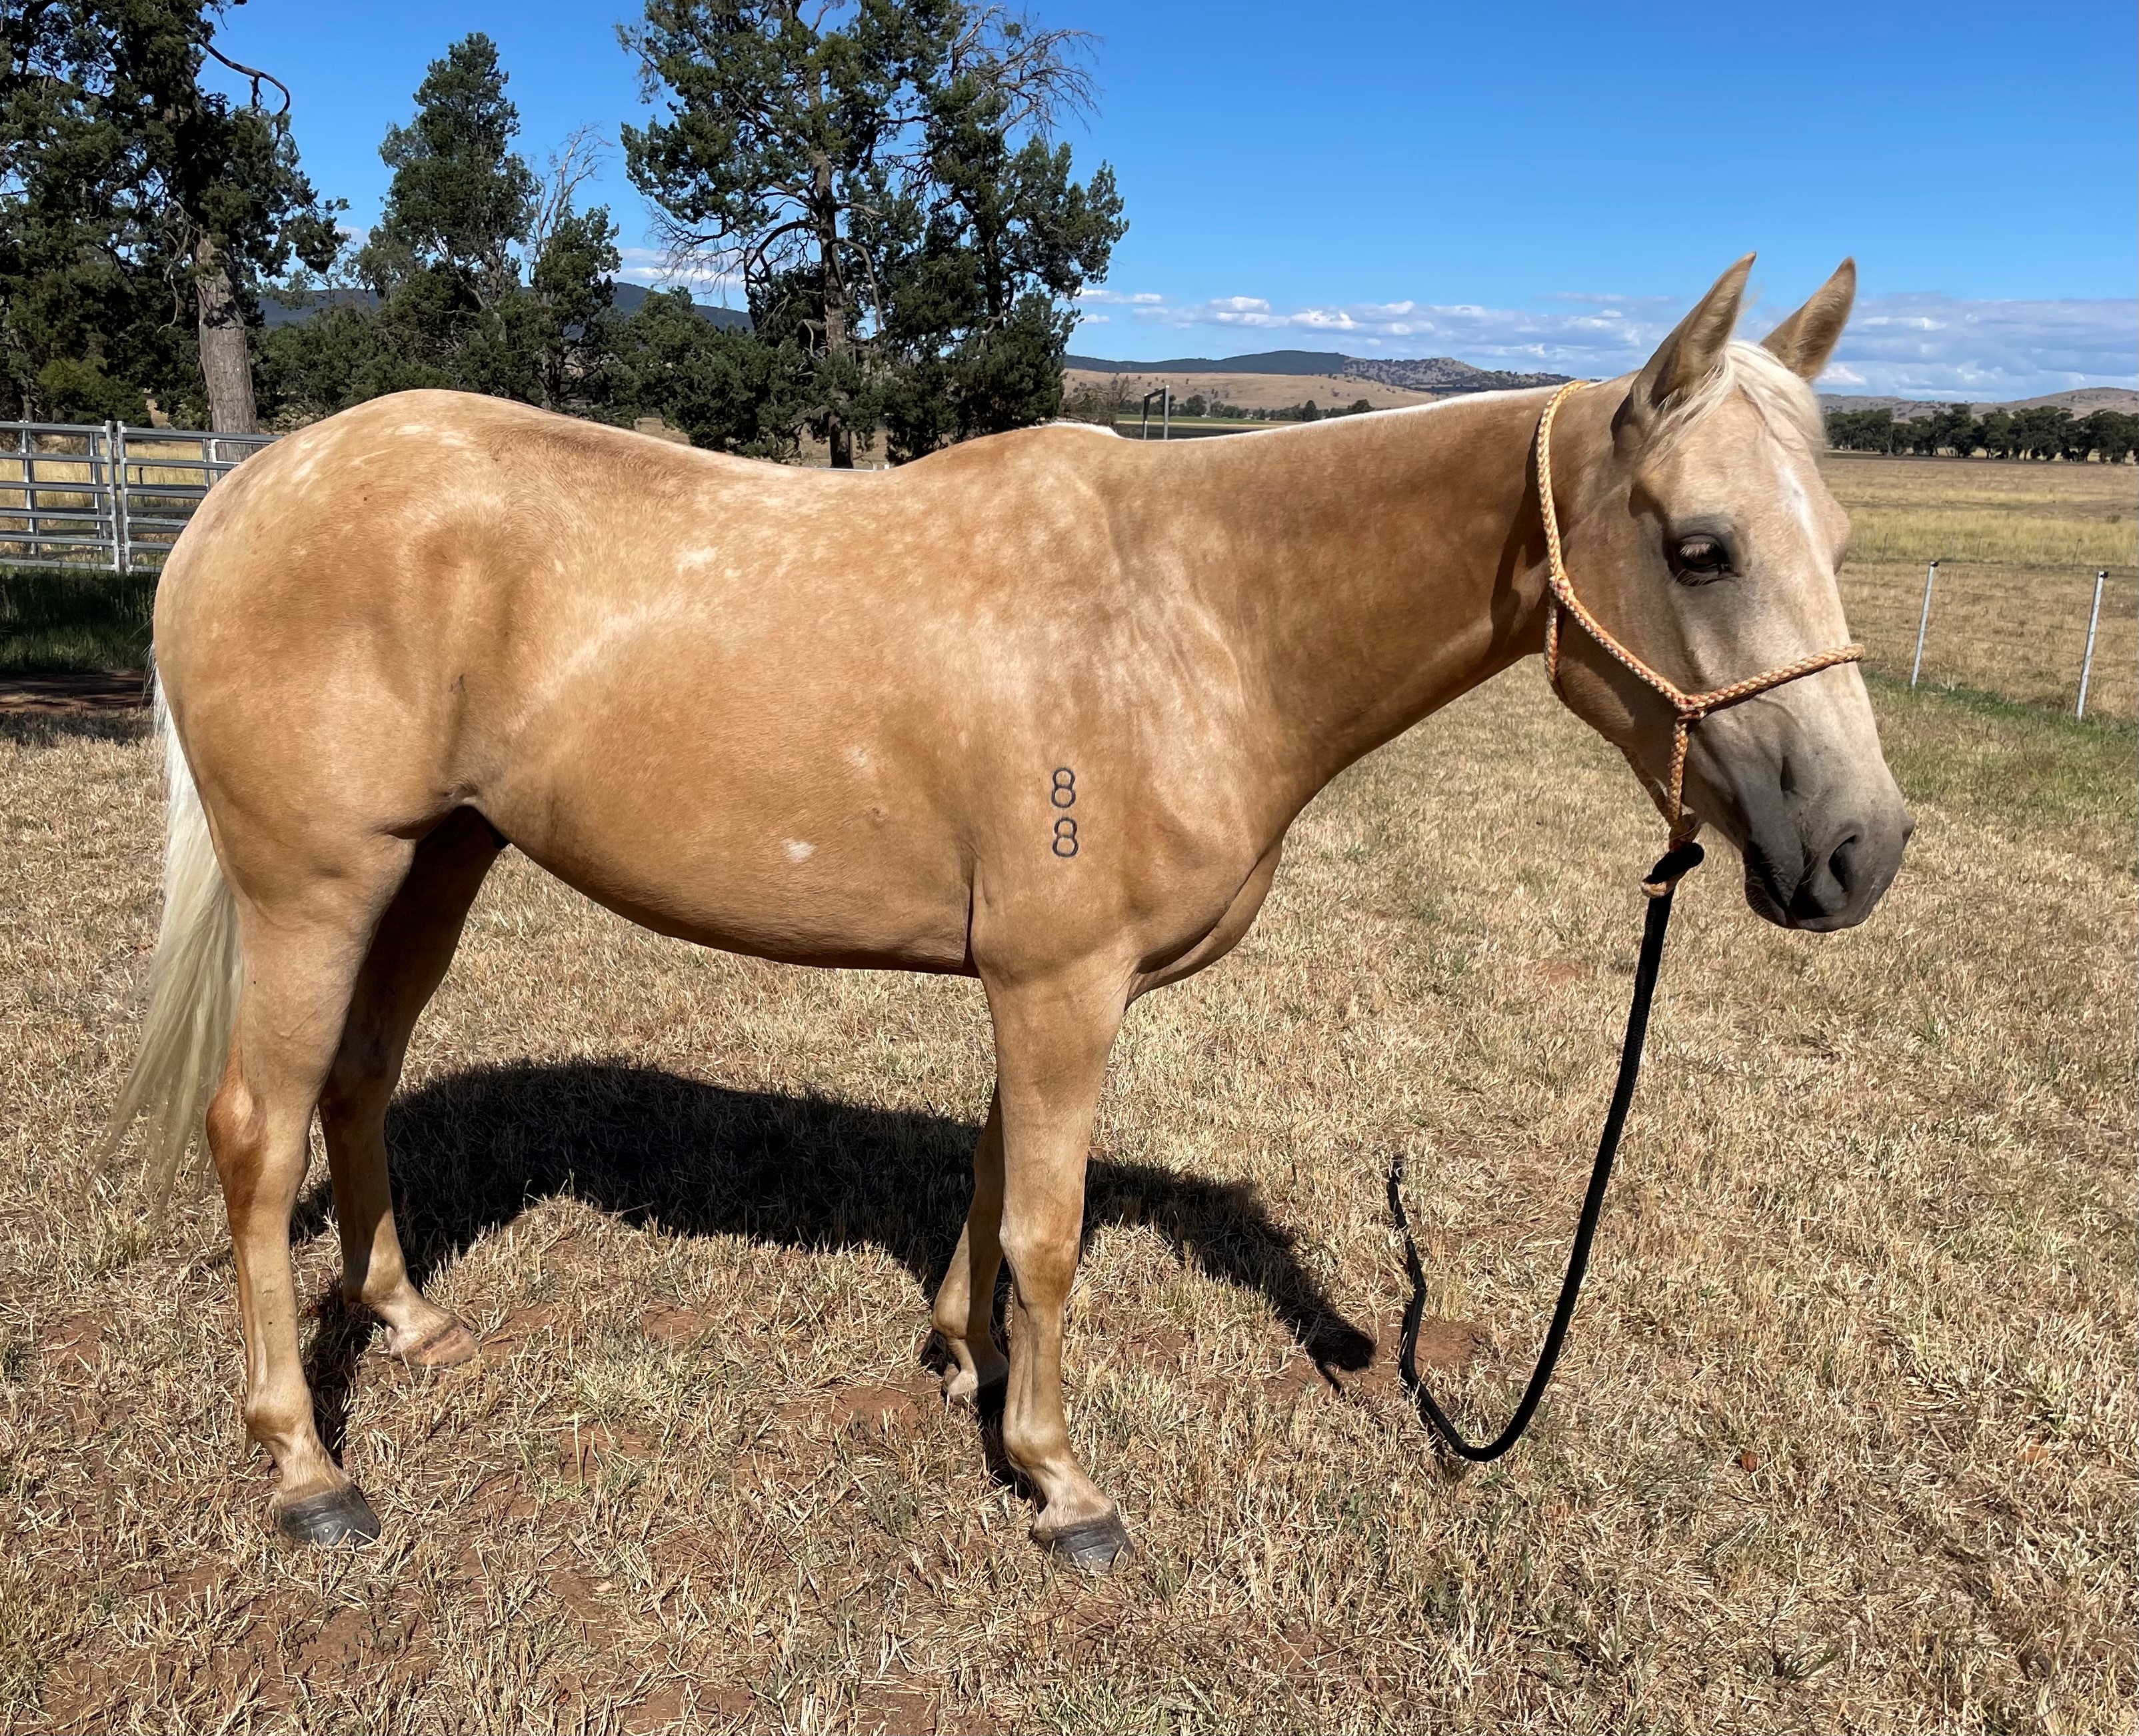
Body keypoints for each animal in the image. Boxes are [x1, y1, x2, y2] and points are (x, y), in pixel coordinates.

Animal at [107, 254, 1909, 1570]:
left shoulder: (1029, 982)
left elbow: (988, 1184)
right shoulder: (1060, 984)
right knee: (258, 1130)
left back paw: (406, 1321)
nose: (1860, 849)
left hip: (440, 861)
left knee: (359, 1081)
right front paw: (1058, 1482)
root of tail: (242, 499)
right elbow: (1049, 1228)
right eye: (1701, 545)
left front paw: (962, 1363)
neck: (1195, 611)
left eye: (1834, 532)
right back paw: (304, 1464)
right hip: (317, 883)